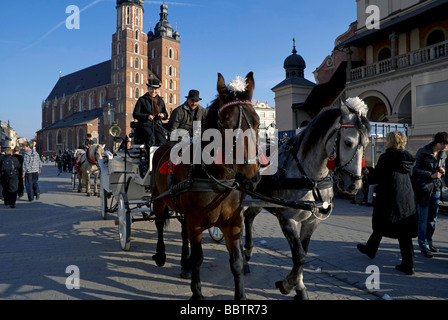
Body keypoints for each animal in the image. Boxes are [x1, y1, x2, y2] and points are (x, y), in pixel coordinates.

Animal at [243, 97, 370, 300]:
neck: (311, 177)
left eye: (366, 144)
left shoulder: (311, 221)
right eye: (348, 142)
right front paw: (287, 285)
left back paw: (247, 251)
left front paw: (299, 286)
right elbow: (299, 255)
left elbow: (303, 252)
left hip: (260, 199)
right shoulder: (288, 219)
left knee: (248, 217)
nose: (354, 186)